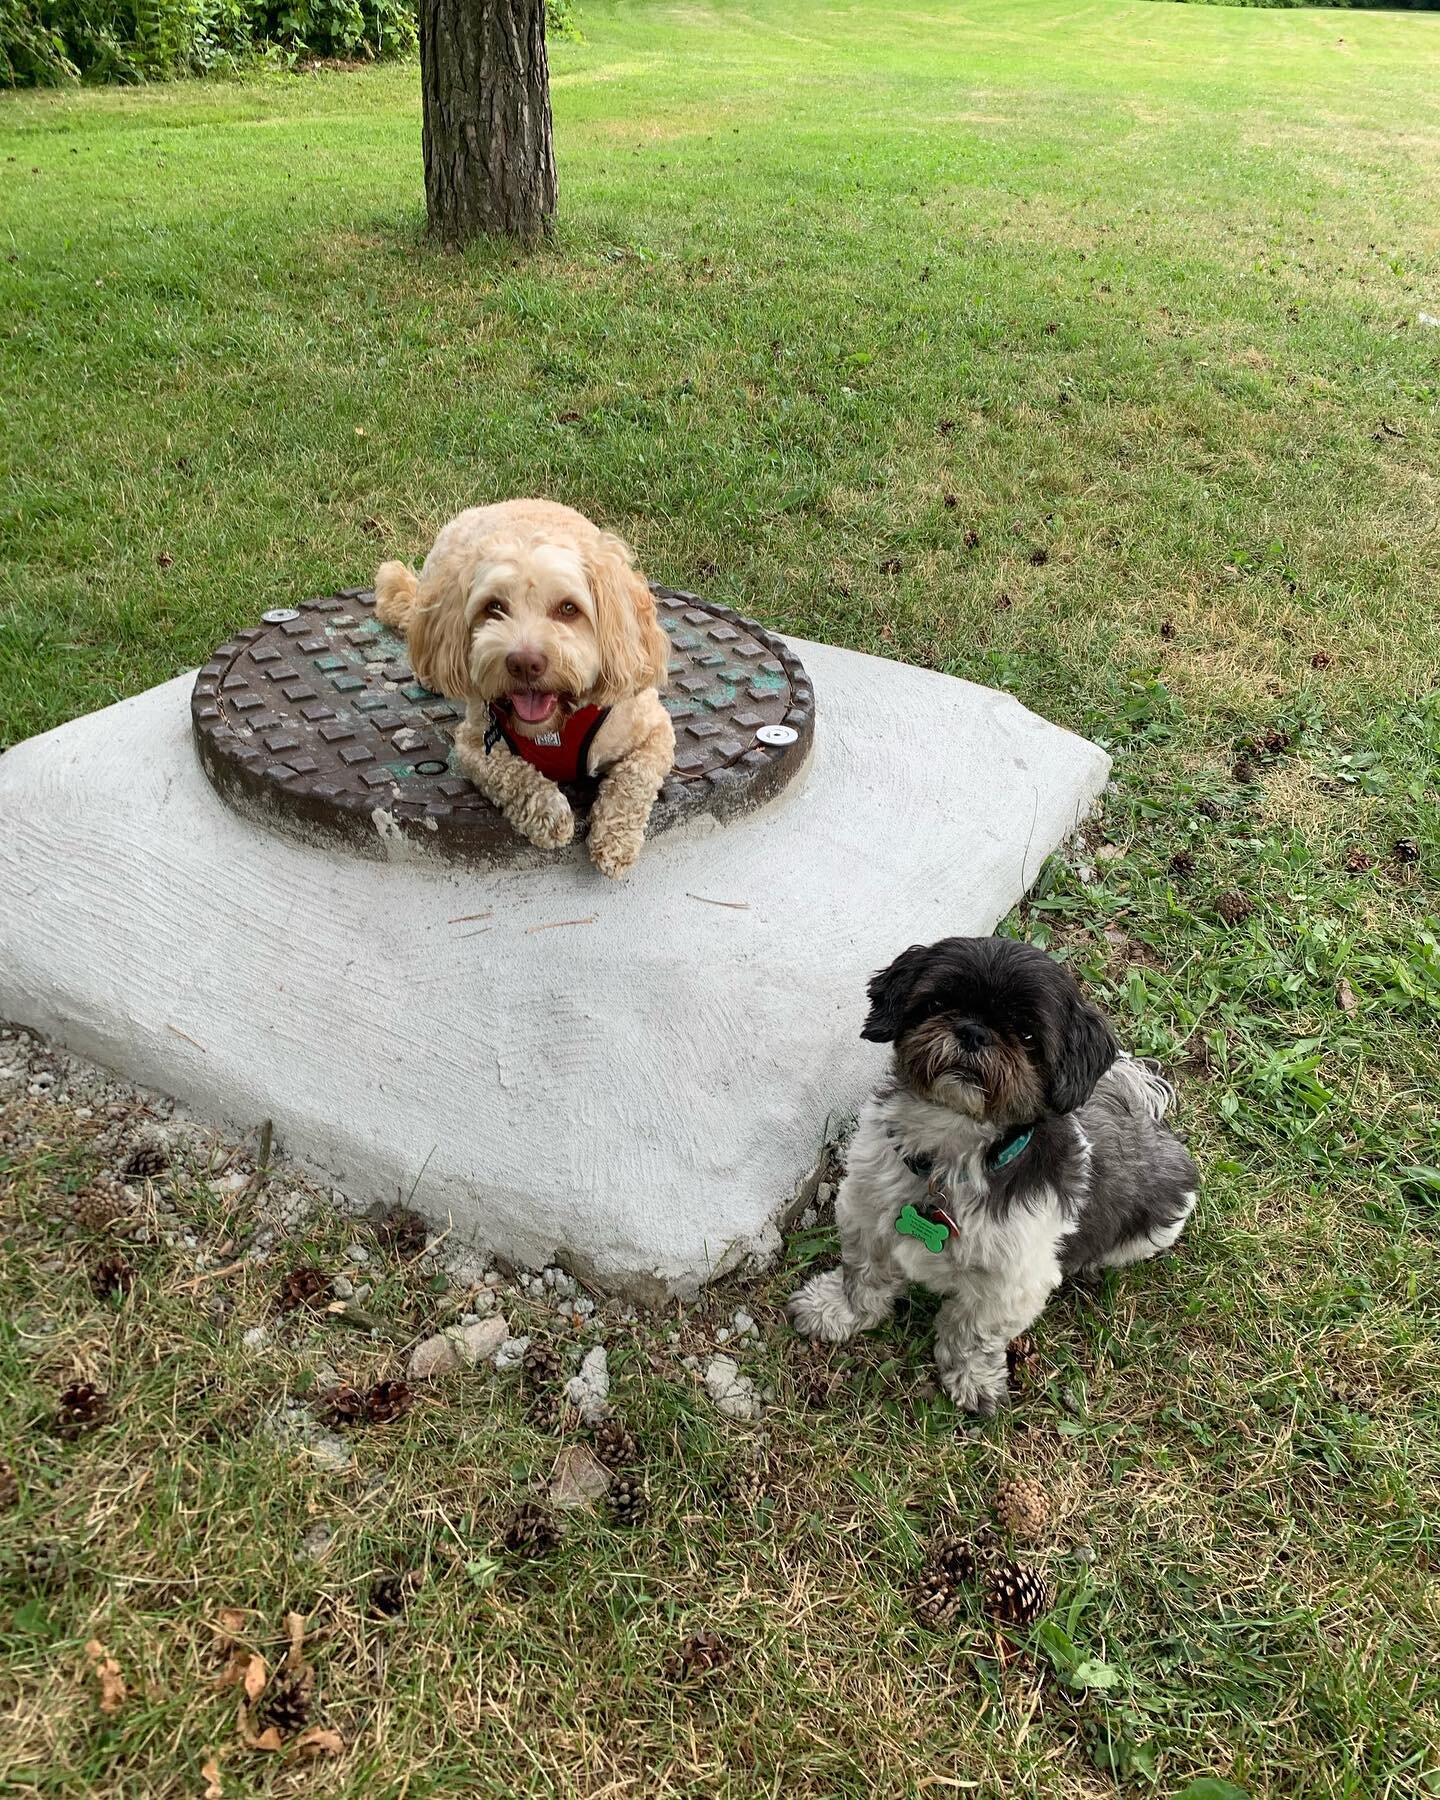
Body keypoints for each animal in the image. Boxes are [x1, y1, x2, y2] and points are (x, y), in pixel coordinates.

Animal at [374, 500, 673, 878]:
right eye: (495, 607)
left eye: (568, 608)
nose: (524, 663)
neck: (557, 724)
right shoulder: (475, 745)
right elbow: (514, 775)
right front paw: (550, 813)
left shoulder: (655, 731)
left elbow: (634, 779)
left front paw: (615, 840)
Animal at [788, 936, 1195, 1411]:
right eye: (939, 1002)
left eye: (1027, 1035)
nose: (973, 1031)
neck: (949, 1159)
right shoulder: (867, 1213)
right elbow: (863, 1274)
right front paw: (838, 1310)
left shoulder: (1011, 1282)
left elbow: (972, 1332)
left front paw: (973, 1379)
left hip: (1157, 1226)